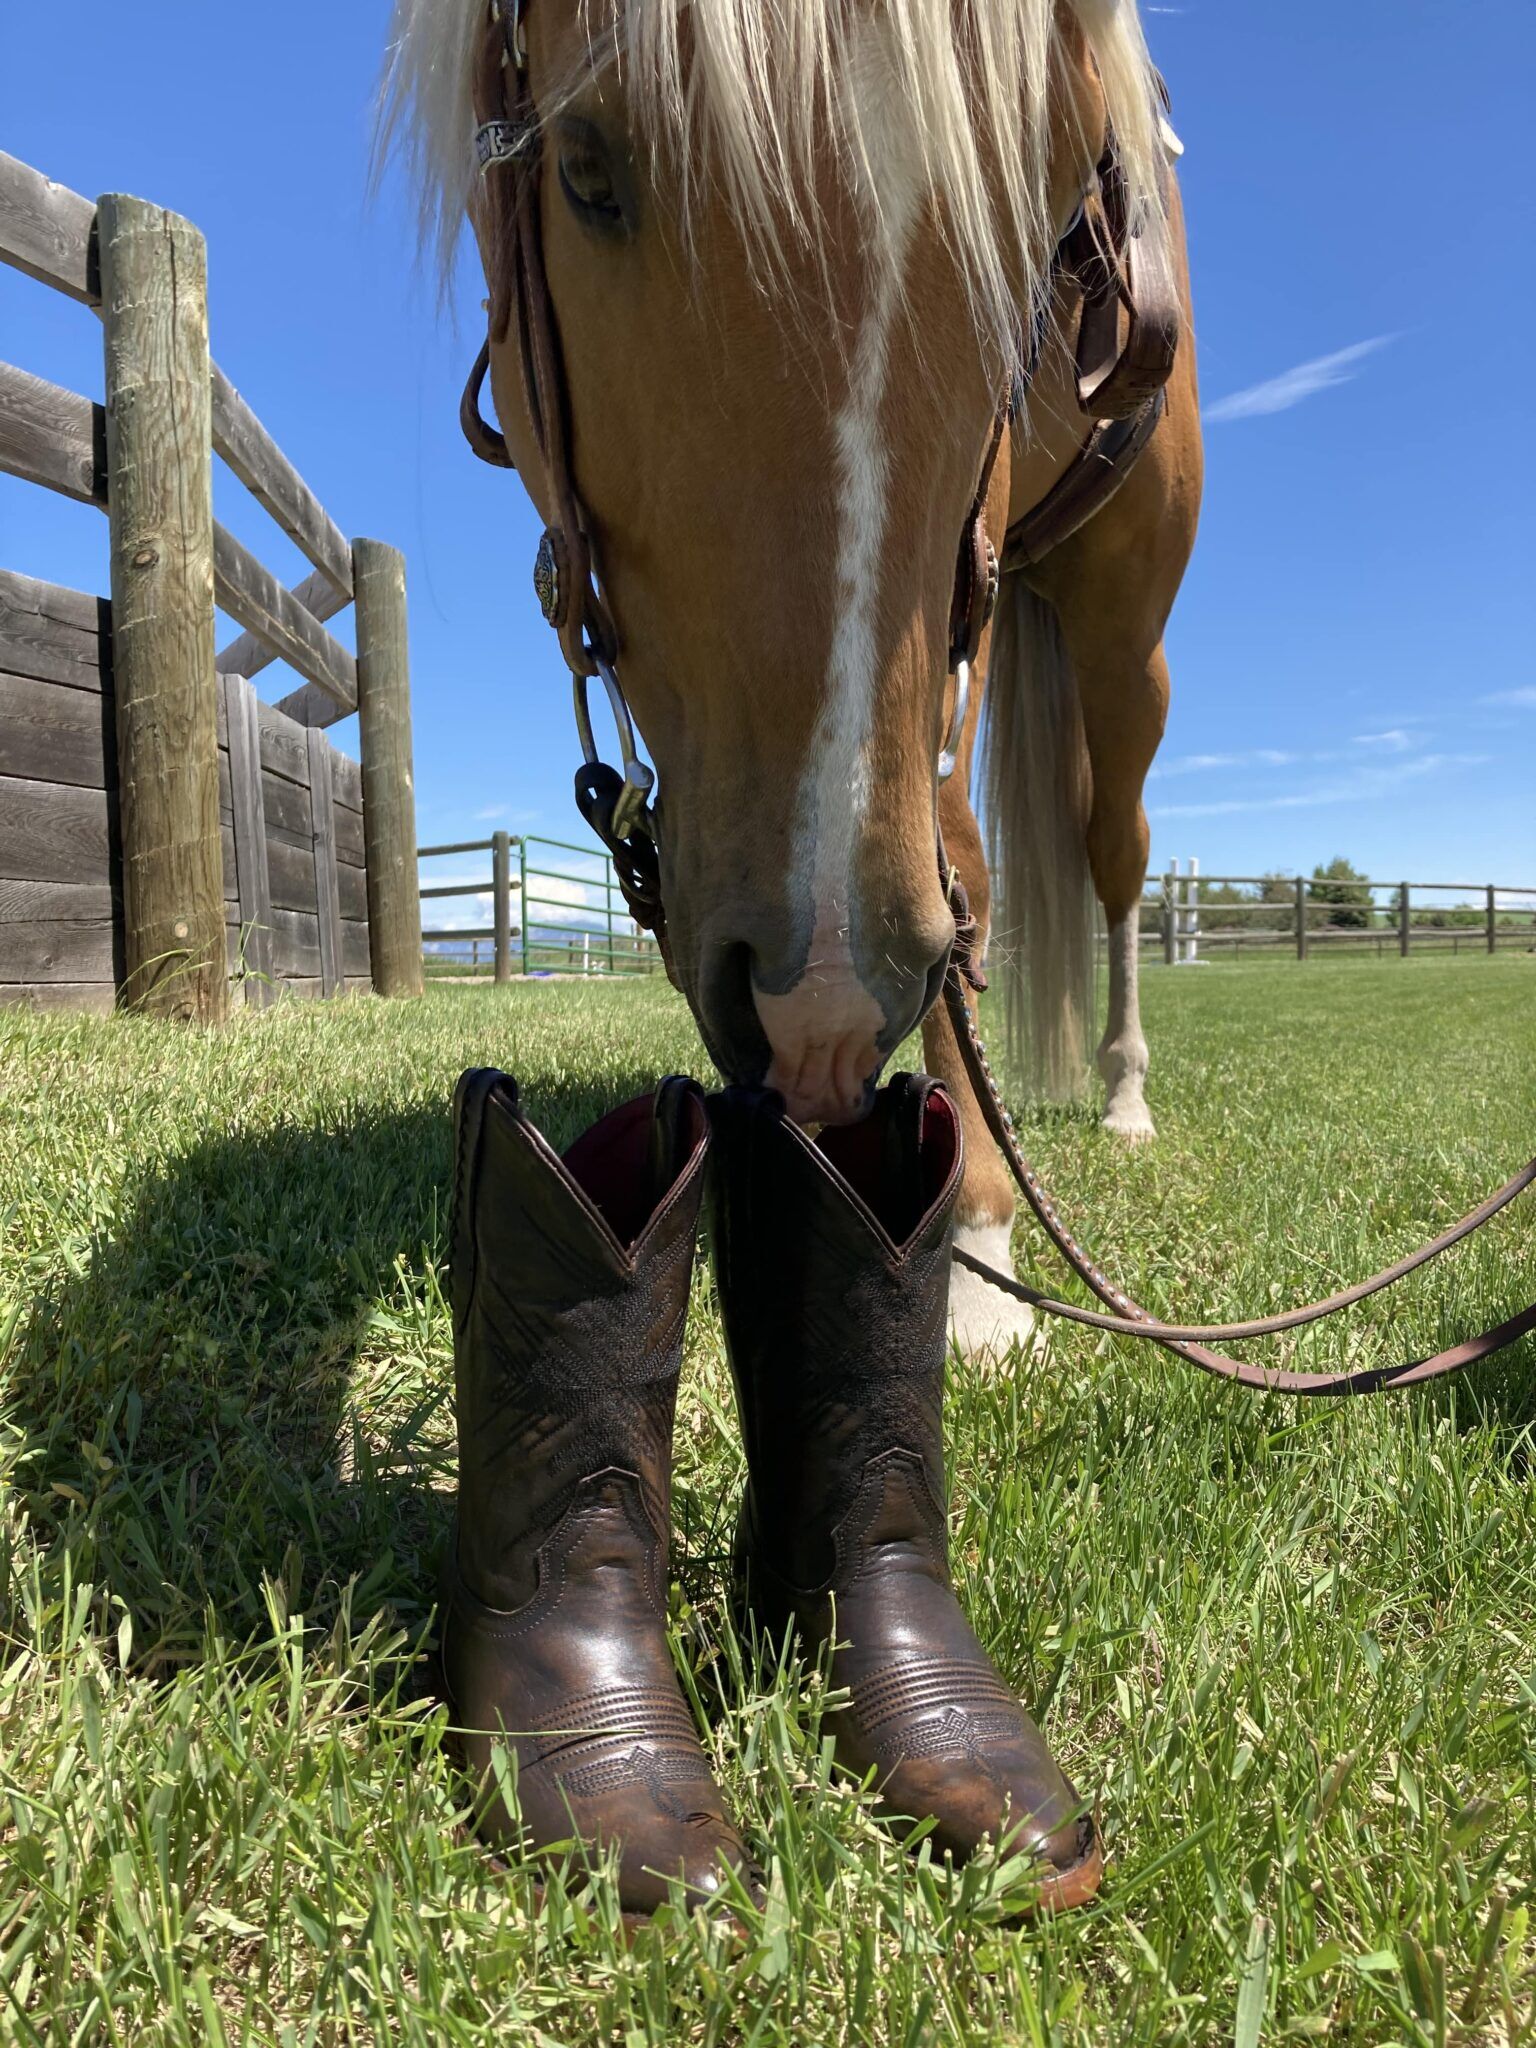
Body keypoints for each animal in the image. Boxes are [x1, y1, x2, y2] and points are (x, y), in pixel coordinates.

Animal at [382, 0, 1202, 1361]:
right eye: (586, 170)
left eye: (1047, 236)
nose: (822, 1003)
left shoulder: (961, 574)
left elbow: (965, 868)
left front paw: (979, 1246)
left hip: (1119, 629)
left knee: (1116, 850)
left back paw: (1126, 1089)